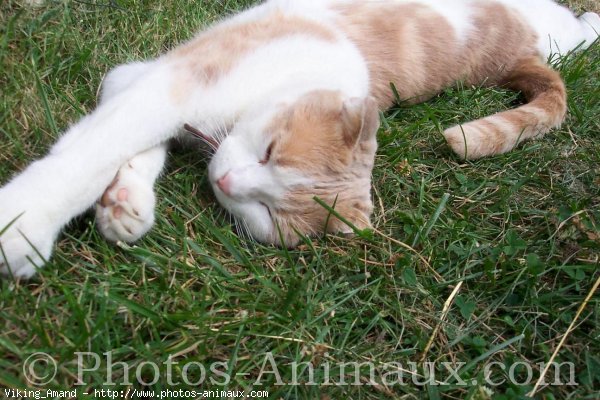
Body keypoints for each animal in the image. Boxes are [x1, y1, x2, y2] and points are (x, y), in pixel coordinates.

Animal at [1, 0, 600, 278]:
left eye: (269, 215)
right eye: (271, 151)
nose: (226, 180)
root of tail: (521, 52)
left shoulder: (151, 84)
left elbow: (131, 147)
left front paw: (124, 202)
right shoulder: (156, 82)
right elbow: (97, 153)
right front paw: (27, 220)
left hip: (555, 42)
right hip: (547, 27)